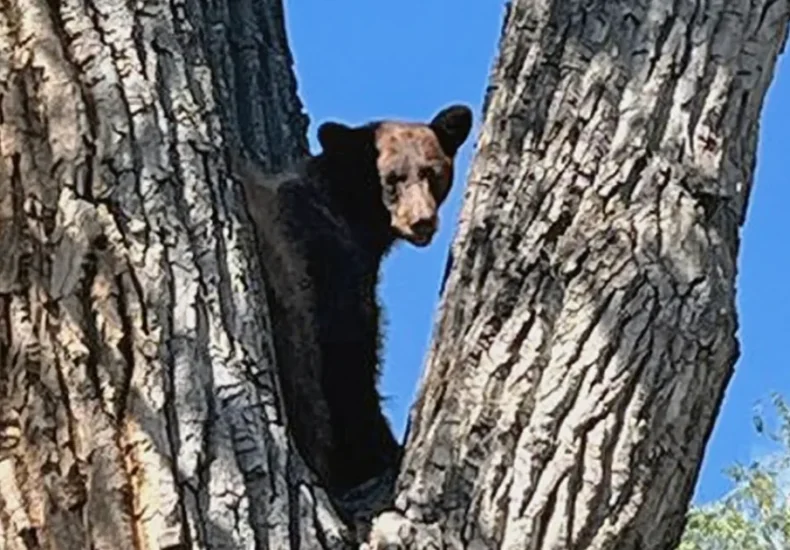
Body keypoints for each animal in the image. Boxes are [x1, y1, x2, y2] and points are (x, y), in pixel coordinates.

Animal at [229, 104, 473, 497]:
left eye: (432, 172)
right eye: (391, 179)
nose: (421, 221)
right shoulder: (332, 265)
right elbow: (352, 361)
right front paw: (383, 452)